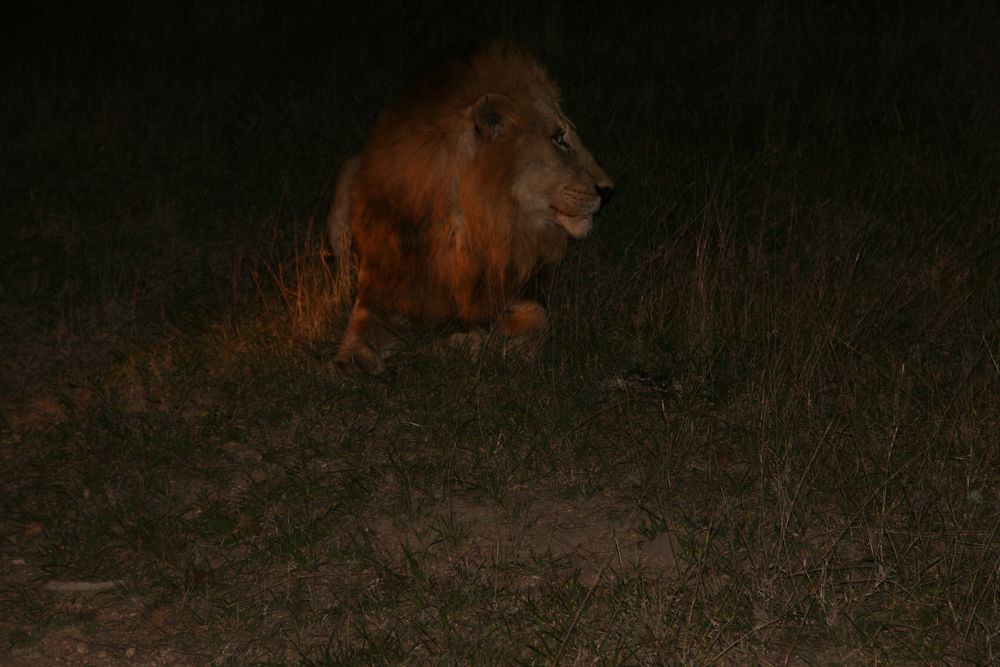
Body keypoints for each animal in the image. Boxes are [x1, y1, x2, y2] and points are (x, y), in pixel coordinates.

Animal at [328, 40, 608, 376]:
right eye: (558, 139)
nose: (607, 189)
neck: (481, 220)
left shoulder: (521, 286)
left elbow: (536, 321)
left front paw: (463, 345)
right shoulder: (389, 283)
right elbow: (362, 321)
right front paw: (353, 357)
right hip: (348, 171)